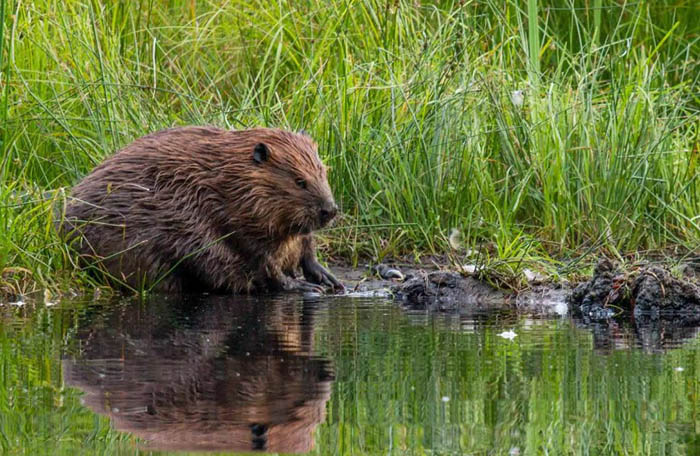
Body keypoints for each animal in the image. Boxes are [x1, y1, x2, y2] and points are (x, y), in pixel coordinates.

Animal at [58, 126, 344, 294]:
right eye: (299, 181)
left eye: (323, 171)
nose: (330, 210)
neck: (230, 180)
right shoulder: (229, 217)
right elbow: (261, 260)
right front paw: (302, 286)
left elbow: (305, 246)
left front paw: (328, 278)